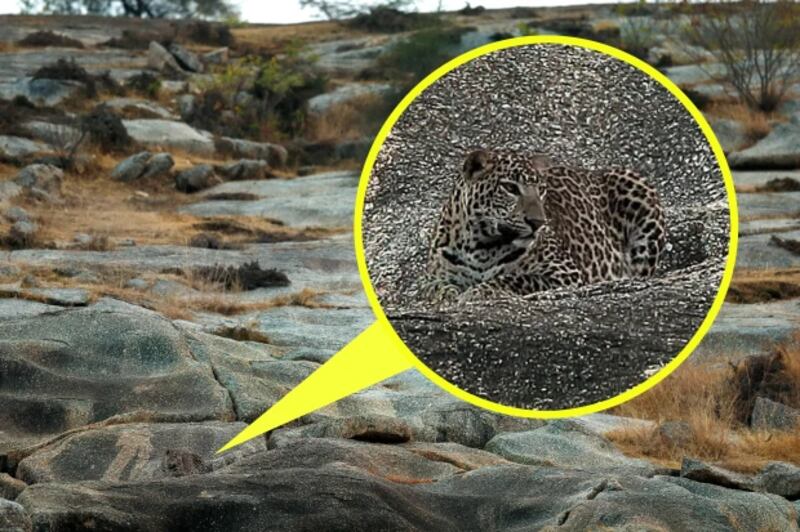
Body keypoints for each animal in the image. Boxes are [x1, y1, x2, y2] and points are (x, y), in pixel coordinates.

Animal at [424, 148, 666, 299]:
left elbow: (516, 278)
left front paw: (480, 291)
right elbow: (436, 287)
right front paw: (447, 295)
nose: (537, 222)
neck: (481, 245)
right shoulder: (436, 275)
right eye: (510, 188)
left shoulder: (565, 273)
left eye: (541, 190)